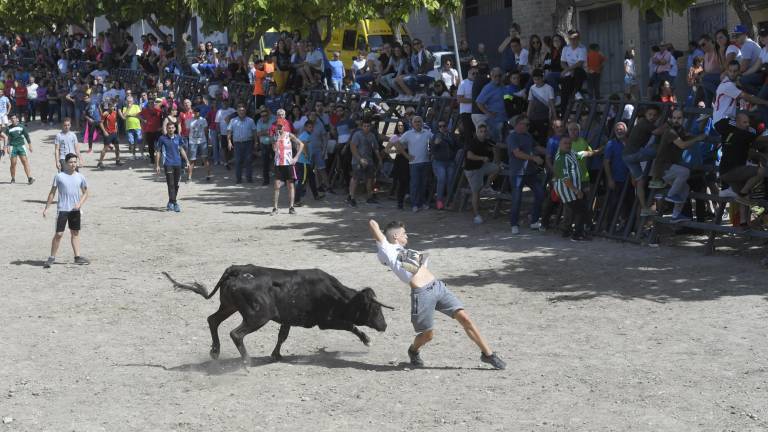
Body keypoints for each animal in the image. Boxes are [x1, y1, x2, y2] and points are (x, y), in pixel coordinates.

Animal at [160, 264, 390, 362]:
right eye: (376, 308)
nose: (385, 325)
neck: (336, 294)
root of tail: (236, 270)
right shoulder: (326, 321)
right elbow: (351, 325)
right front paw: (367, 340)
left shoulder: (287, 319)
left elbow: (282, 336)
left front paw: (276, 354)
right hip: (258, 316)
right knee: (236, 334)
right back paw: (246, 362)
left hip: (229, 306)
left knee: (213, 320)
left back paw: (215, 352)